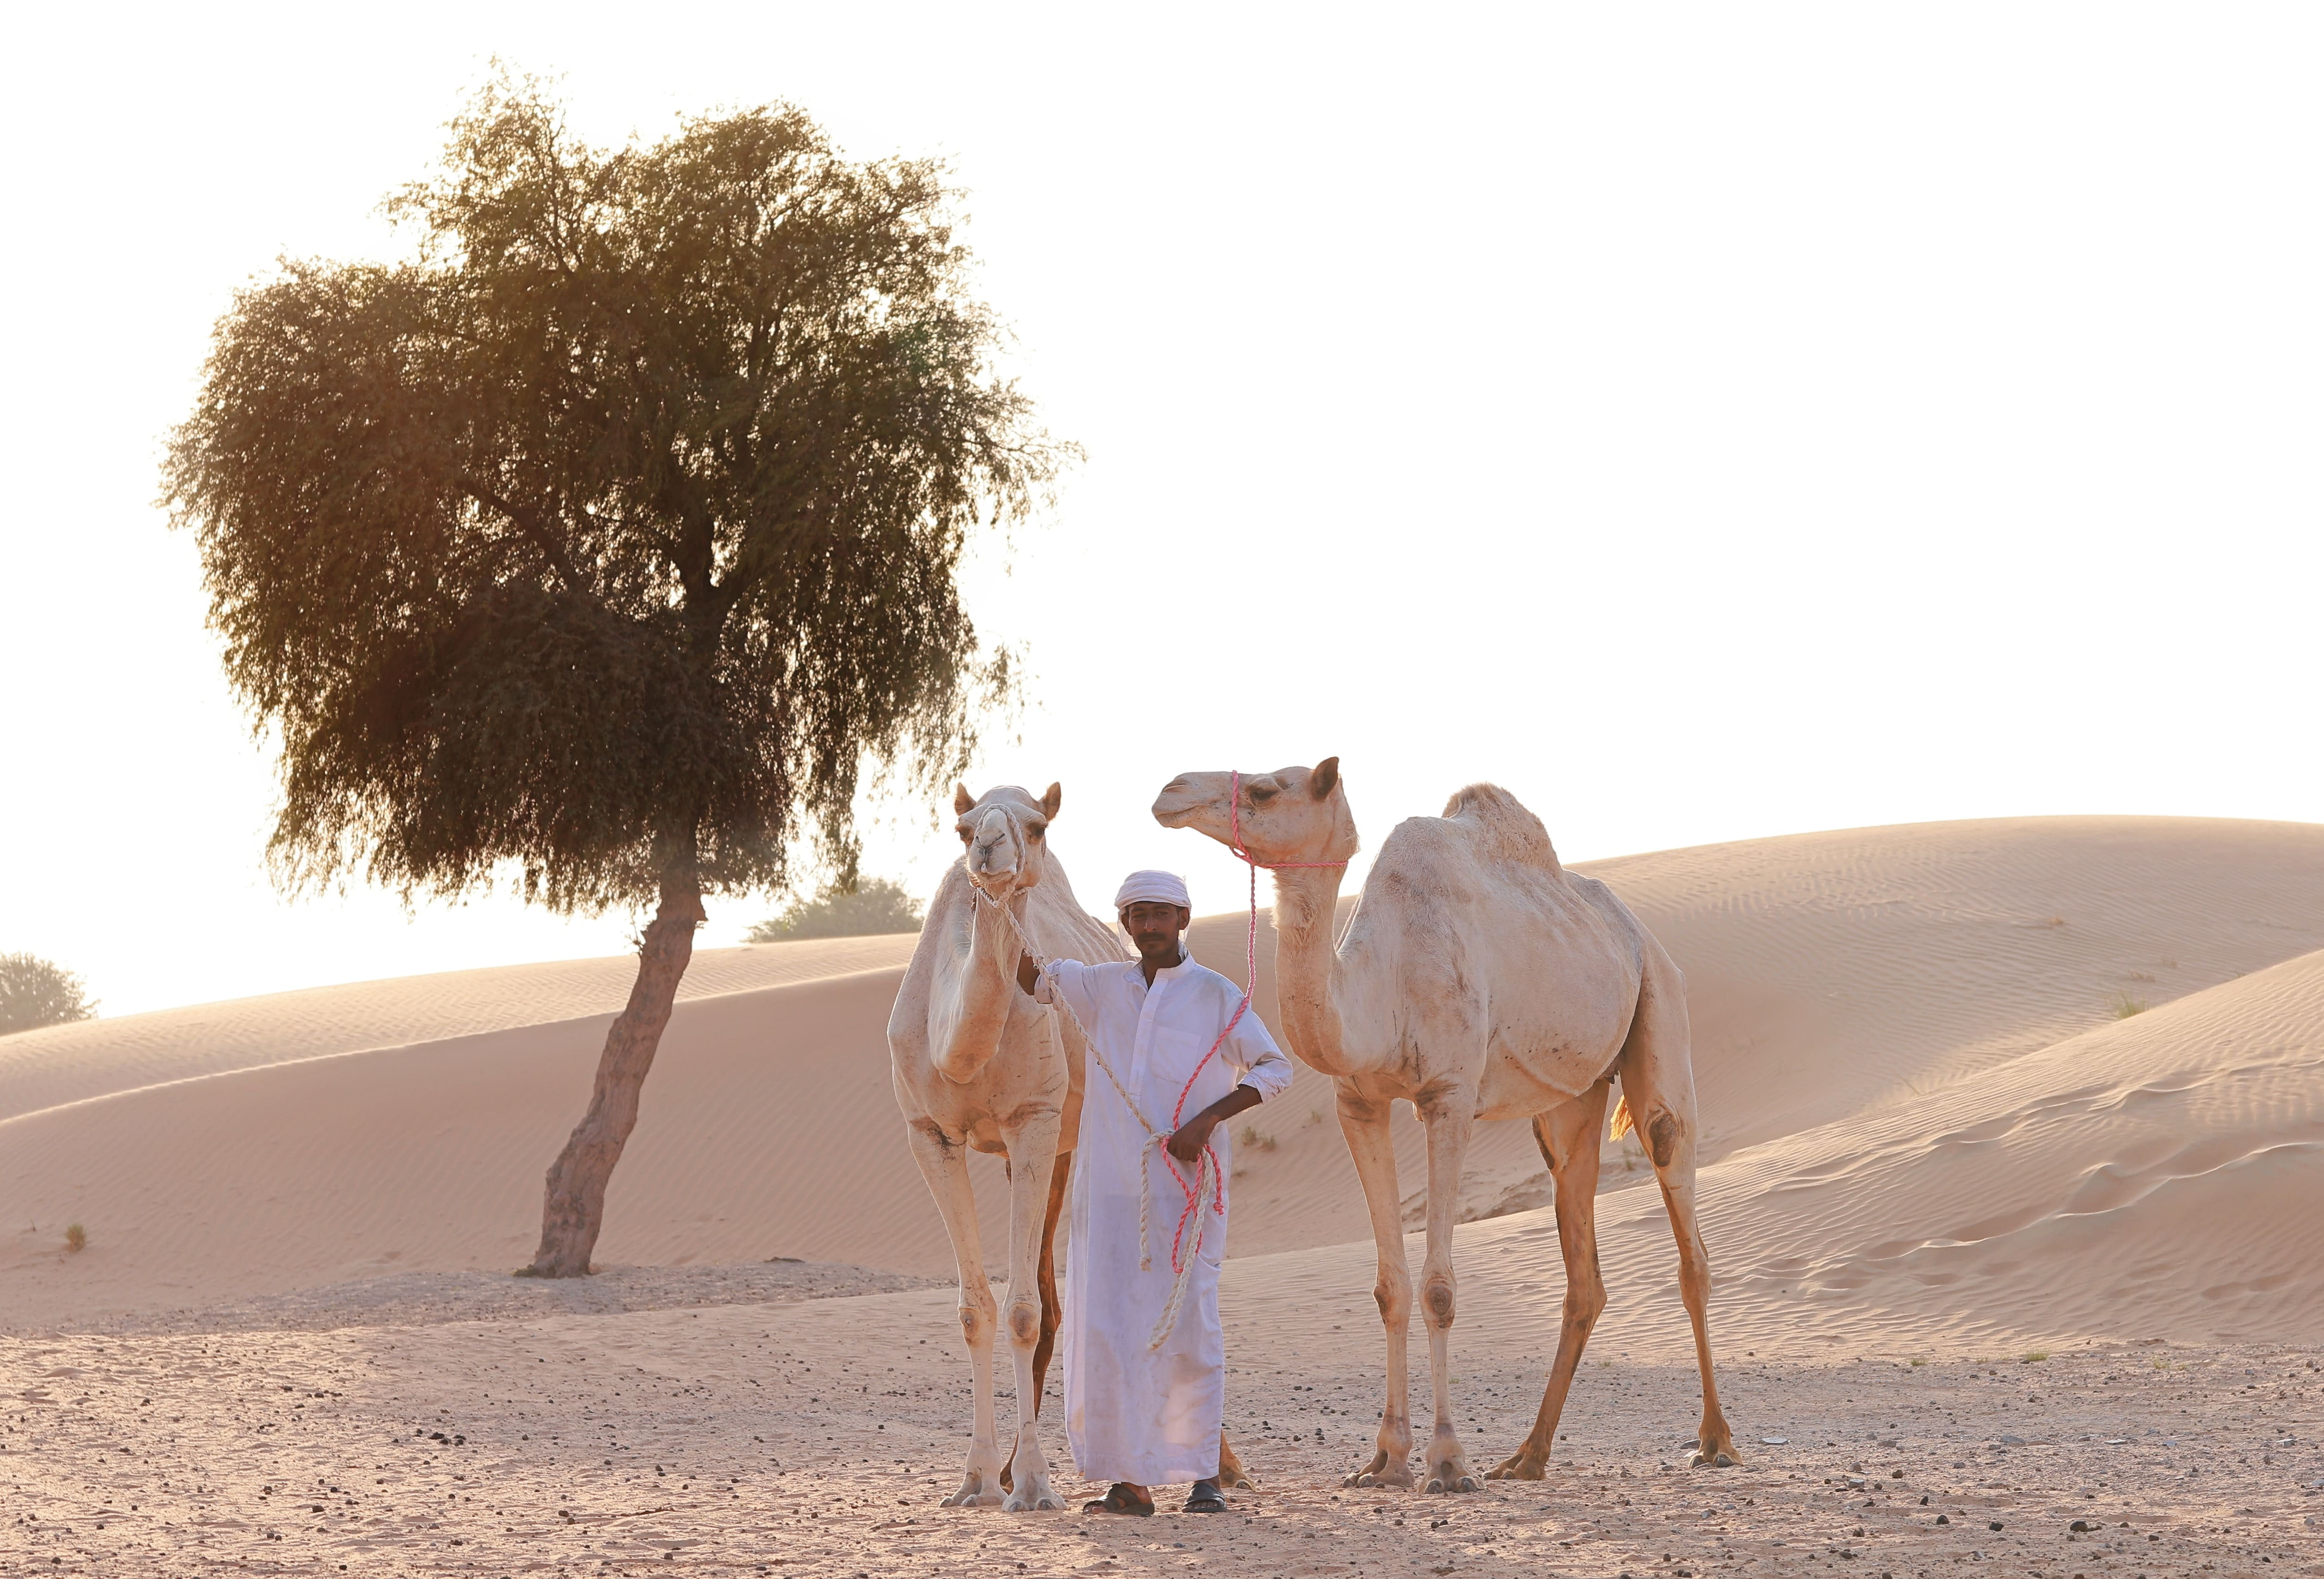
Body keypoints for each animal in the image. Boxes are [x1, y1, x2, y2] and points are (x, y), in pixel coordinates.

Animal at [1153, 760, 1740, 1493]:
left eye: (1266, 789)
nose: (1170, 790)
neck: (1381, 986)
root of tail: (1640, 932)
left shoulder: (1450, 1097)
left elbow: (1437, 1287)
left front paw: (1447, 1461)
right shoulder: (1359, 1103)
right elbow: (1390, 1287)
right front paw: (1384, 1460)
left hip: (1660, 998)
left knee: (1682, 1208)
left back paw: (1715, 1440)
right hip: (1569, 1098)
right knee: (1582, 1262)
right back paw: (1528, 1455)